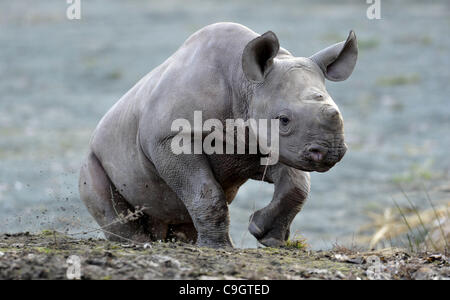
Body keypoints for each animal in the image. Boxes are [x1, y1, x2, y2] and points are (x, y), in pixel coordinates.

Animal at [79, 22, 356, 248]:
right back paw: (140, 244)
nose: (331, 152)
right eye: (284, 120)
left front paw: (266, 235)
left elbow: (297, 185)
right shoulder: (169, 139)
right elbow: (205, 191)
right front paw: (220, 248)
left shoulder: (263, 143)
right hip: (94, 154)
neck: (244, 82)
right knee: (98, 188)